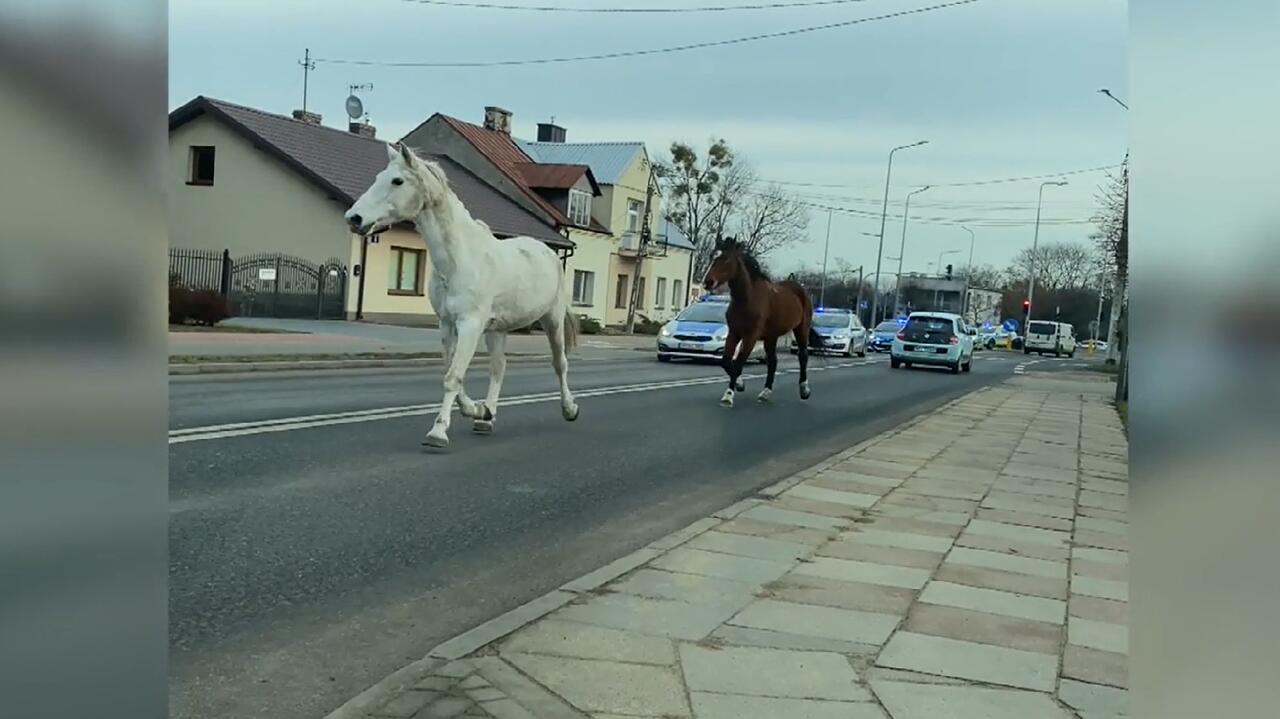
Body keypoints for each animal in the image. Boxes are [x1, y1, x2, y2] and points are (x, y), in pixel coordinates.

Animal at [343, 142, 578, 445]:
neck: (459, 258)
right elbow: (451, 371)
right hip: (497, 330)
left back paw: (569, 408)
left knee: (560, 363)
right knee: (499, 367)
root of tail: (550, 253)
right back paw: (487, 417)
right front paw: (476, 410)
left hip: (552, 320)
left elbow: (453, 376)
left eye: (397, 181)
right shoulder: (446, 324)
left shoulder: (470, 325)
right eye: (377, 178)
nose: (353, 218)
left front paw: (438, 431)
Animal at [701, 235, 819, 404]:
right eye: (712, 256)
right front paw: (740, 384)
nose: (708, 282)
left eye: (726, 259)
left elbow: (738, 364)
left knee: (803, 356)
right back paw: (765, 392)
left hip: (801, 329)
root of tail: (800, 287)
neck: (747, 298)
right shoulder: (734, 333)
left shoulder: (750, 337)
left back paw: (804, 390)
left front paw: (729, 396)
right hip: (771, 336)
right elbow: (726, 361)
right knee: (773, 362)